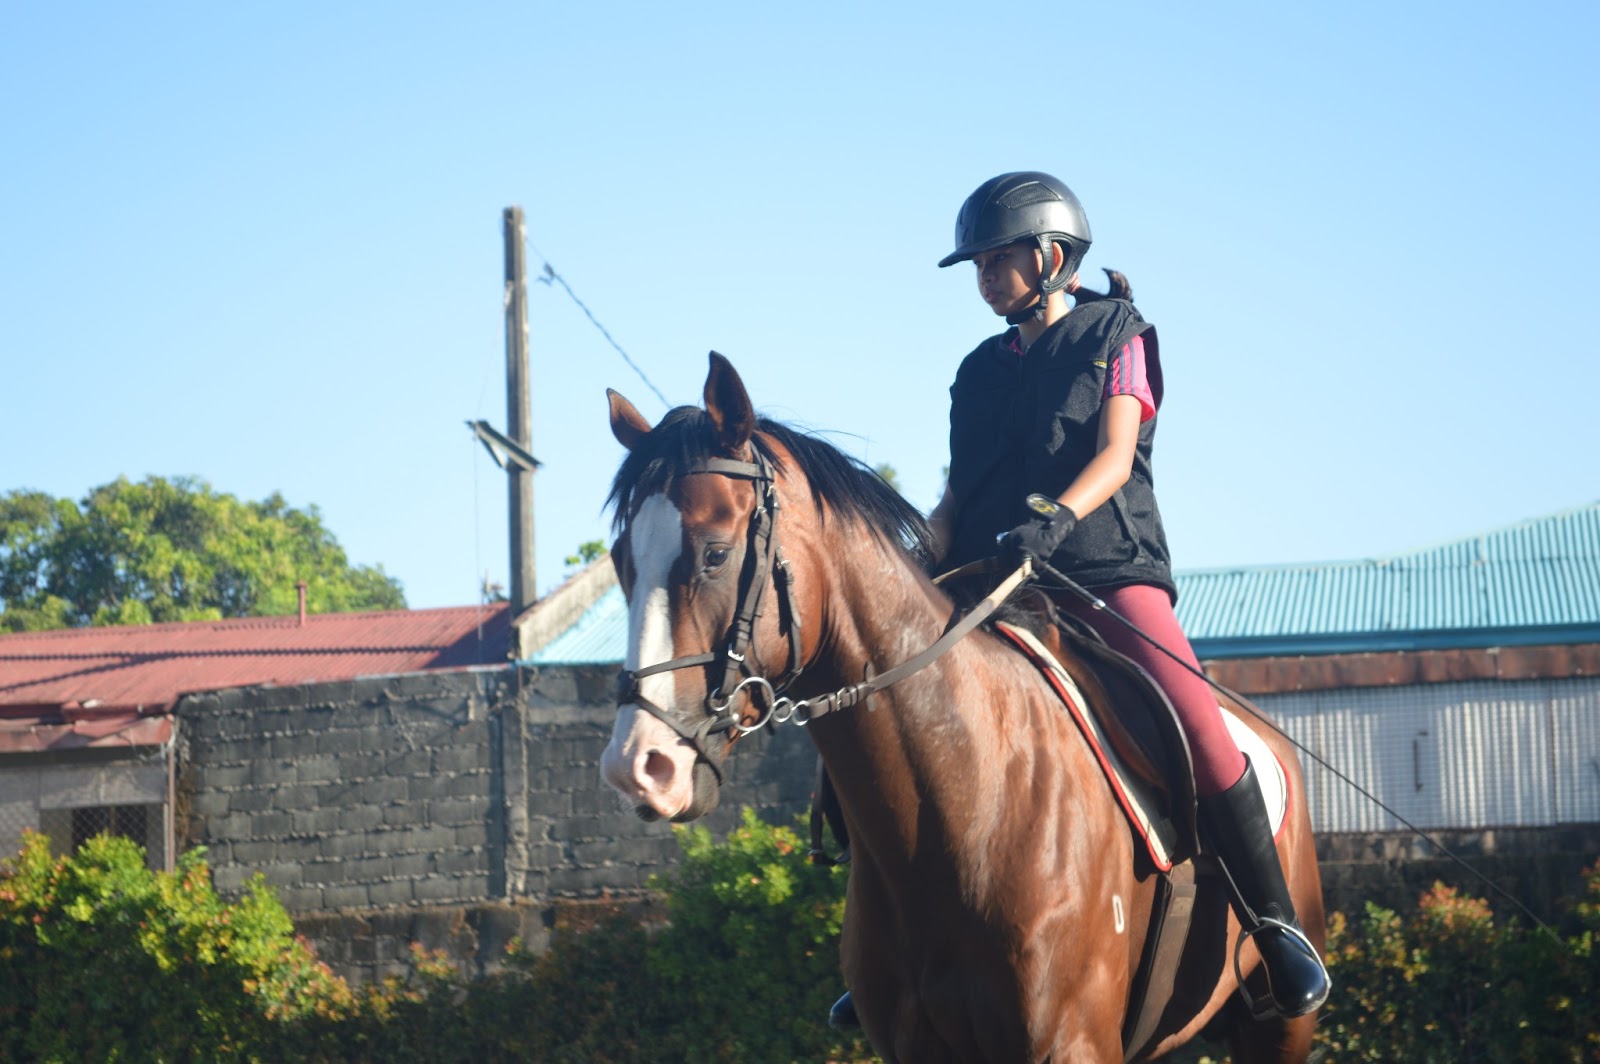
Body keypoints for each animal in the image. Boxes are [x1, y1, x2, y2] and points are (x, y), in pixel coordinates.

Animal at [599, 353, 1325, 1063]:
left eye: (716, 553)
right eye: (620, 560)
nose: (638, 768)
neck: (966, 800)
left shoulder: (1071, 1043)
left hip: (1276, 1031)